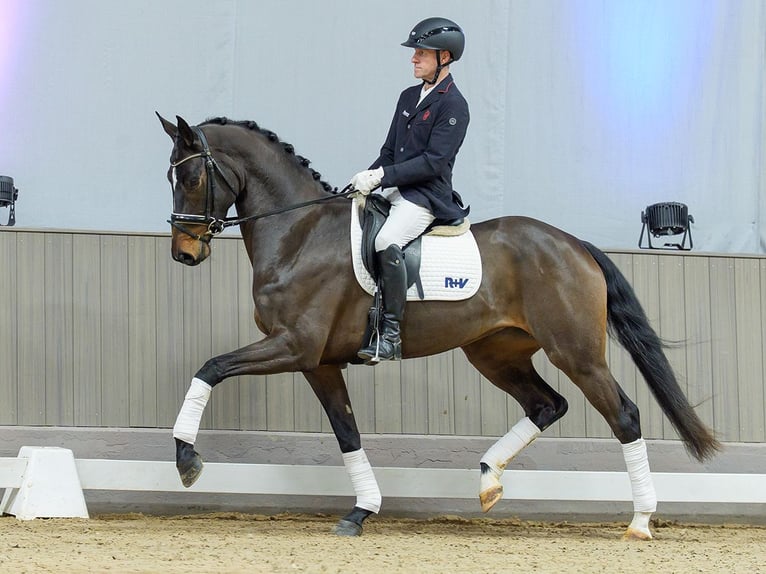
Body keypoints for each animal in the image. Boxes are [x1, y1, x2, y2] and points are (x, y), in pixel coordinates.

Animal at [157, 113, 719, 540]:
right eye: (171, 178)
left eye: (192, 179)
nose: (184, 254)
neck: (300, 233)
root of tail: (573, 243)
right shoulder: (318, 362)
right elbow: (347, 433)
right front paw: (361, 511)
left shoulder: (294, 346)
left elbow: (210, 368)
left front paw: (186, 459)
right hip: (494, 353)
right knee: (547, 405)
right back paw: (488, 480)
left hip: (576, 353)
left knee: (623, 415)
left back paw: (640, 521)